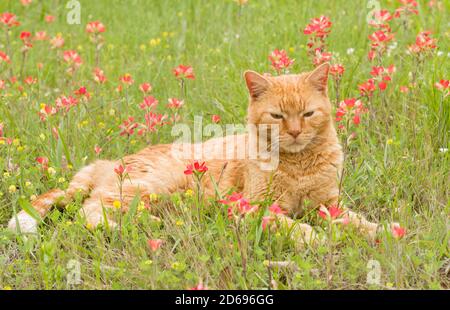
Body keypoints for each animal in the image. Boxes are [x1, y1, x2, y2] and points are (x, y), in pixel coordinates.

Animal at [7, 63, 384, 246]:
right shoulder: (252, 207)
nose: (293, 132)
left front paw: (380, 232)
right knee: (90, 213)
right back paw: (141, 228)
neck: (300, 163)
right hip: (150, 187)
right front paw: (312, 237)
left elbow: (356, 221)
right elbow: (290, 224)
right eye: (277, 116)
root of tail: (106, 163)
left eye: (307, 114)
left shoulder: (328, 204)